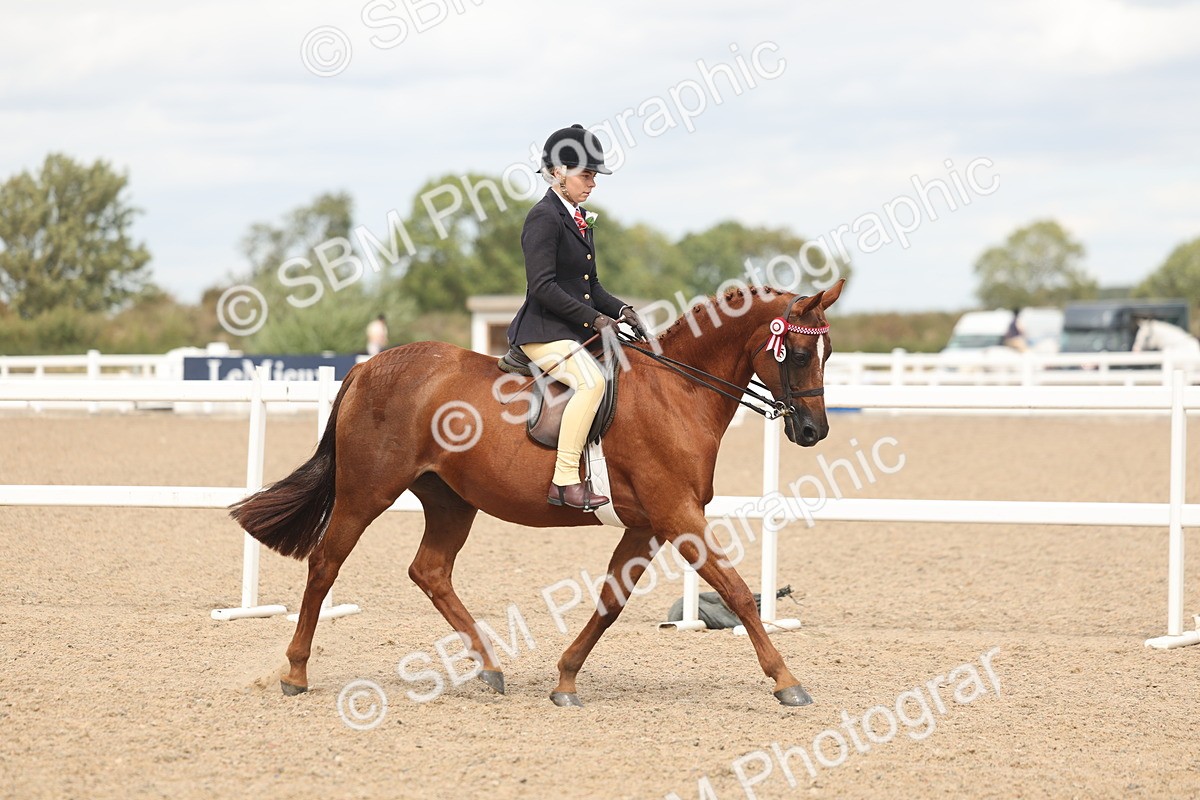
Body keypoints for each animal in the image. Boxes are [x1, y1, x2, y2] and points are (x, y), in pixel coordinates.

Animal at [230, 279, 845, 707]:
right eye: (797, 353)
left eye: (830, 353)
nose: (814, 430)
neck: (678, 391)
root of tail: (367, 367)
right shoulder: (678, 515)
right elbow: (738, 592)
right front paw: (787, 681)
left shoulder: (647, 526)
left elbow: (610, 602)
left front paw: (566, 679)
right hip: (367, 492)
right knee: (326, 563)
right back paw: (295, 671)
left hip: (451, 500)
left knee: (430, 571)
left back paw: (489, 667)